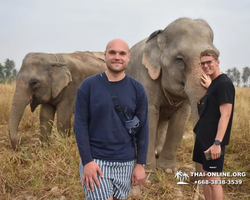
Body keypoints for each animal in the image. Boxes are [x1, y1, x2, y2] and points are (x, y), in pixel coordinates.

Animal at [125, 16, 219, 172]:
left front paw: (168, 170)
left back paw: (157, 152)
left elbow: (180, 119)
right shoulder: (145, 74)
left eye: (216, 57)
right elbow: (148, 113)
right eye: (180, 60)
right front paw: (147, 170)